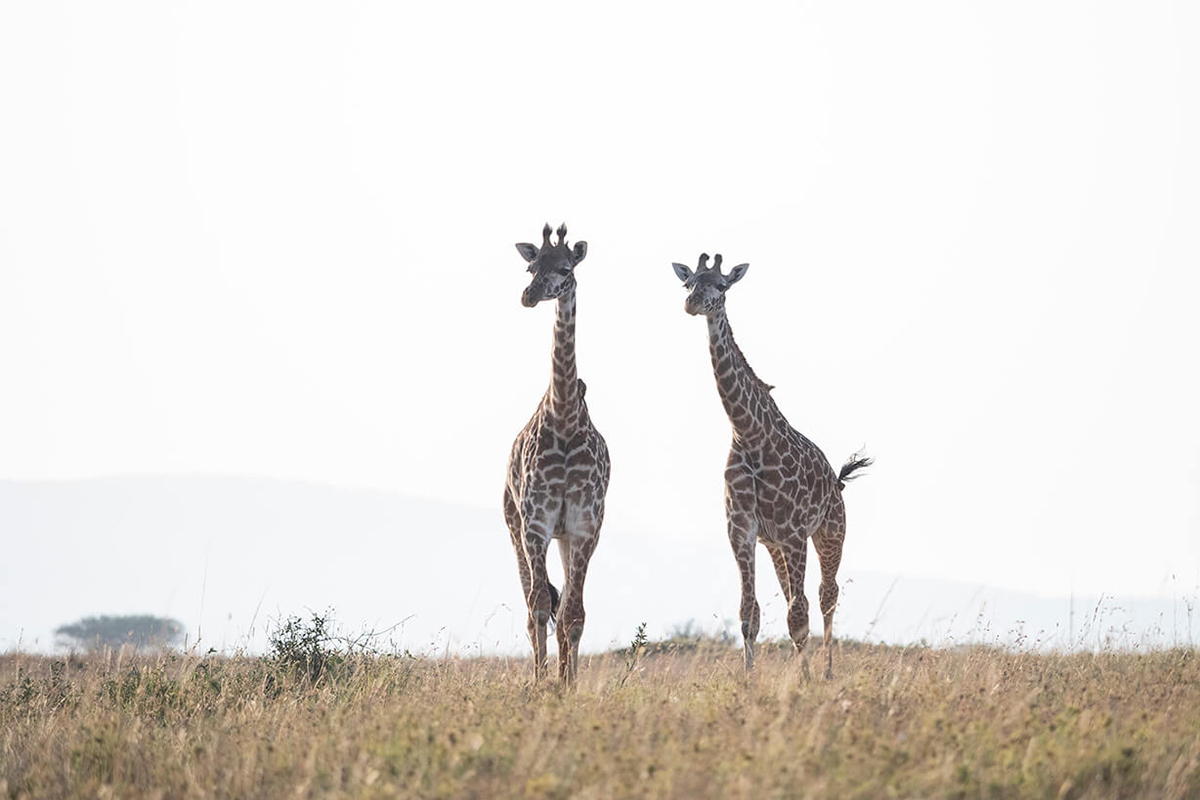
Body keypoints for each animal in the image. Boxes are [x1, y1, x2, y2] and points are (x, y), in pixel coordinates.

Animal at [672, 252, 872, 677]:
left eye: (721, 285)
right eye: (688, 283)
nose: (693, 304)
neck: (749, 434)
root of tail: (837, 482)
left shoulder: (795, 531)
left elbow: (799, 615)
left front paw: (806, 681)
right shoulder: (742, 530)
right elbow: (750, 613)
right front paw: (748, 680)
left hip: (831, 532)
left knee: (826, 595)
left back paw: (827, 671)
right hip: (776, 545)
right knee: (797, 598)